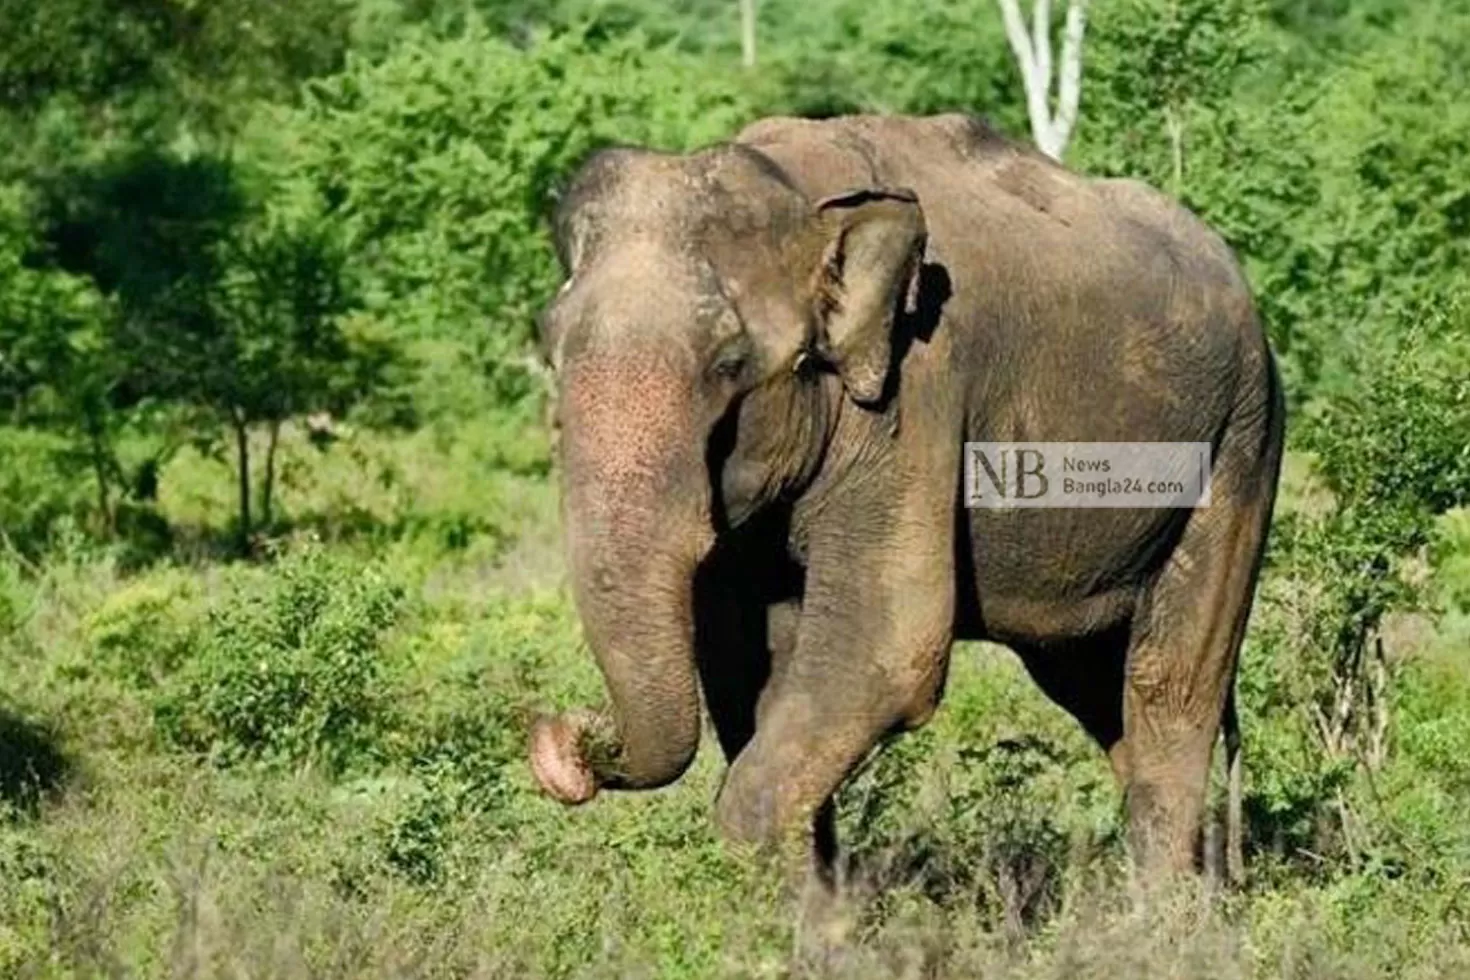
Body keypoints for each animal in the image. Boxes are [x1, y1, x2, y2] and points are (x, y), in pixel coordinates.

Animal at [529, 113, 1287, 887]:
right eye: (549, 350)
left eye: (729, 364)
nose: (561, 742)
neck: (795, 186)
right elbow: (742, 660)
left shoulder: (919, 387)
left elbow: (887, 648)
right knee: (1094, 684)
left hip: (1242, 440)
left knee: (1170, 683)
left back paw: (1160, 911)